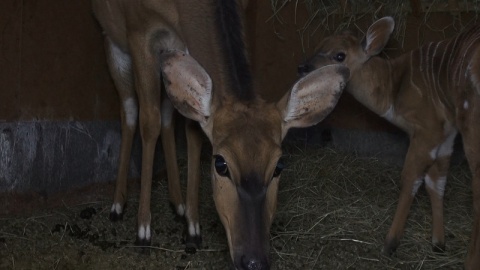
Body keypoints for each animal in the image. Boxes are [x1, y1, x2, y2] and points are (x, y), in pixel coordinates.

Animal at [92, 0, 346, 268]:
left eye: (279, 165)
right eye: (221, 164)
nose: (253, 260)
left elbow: (193, 129)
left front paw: (193, 230)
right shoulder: (138, 32)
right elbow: (149, 122)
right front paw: (143, 232)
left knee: (167, 116)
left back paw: (178, 204)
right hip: (113, 43)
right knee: (131, 110)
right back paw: (118, 205)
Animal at [298, 17, 480, 268]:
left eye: (340, 55)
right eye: (318, 46)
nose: (303, 68)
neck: (394, 88)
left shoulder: (427, 131)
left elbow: (411, 179)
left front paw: (390, 244)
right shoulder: (446, 135)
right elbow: (436, 182)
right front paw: (438, 244)